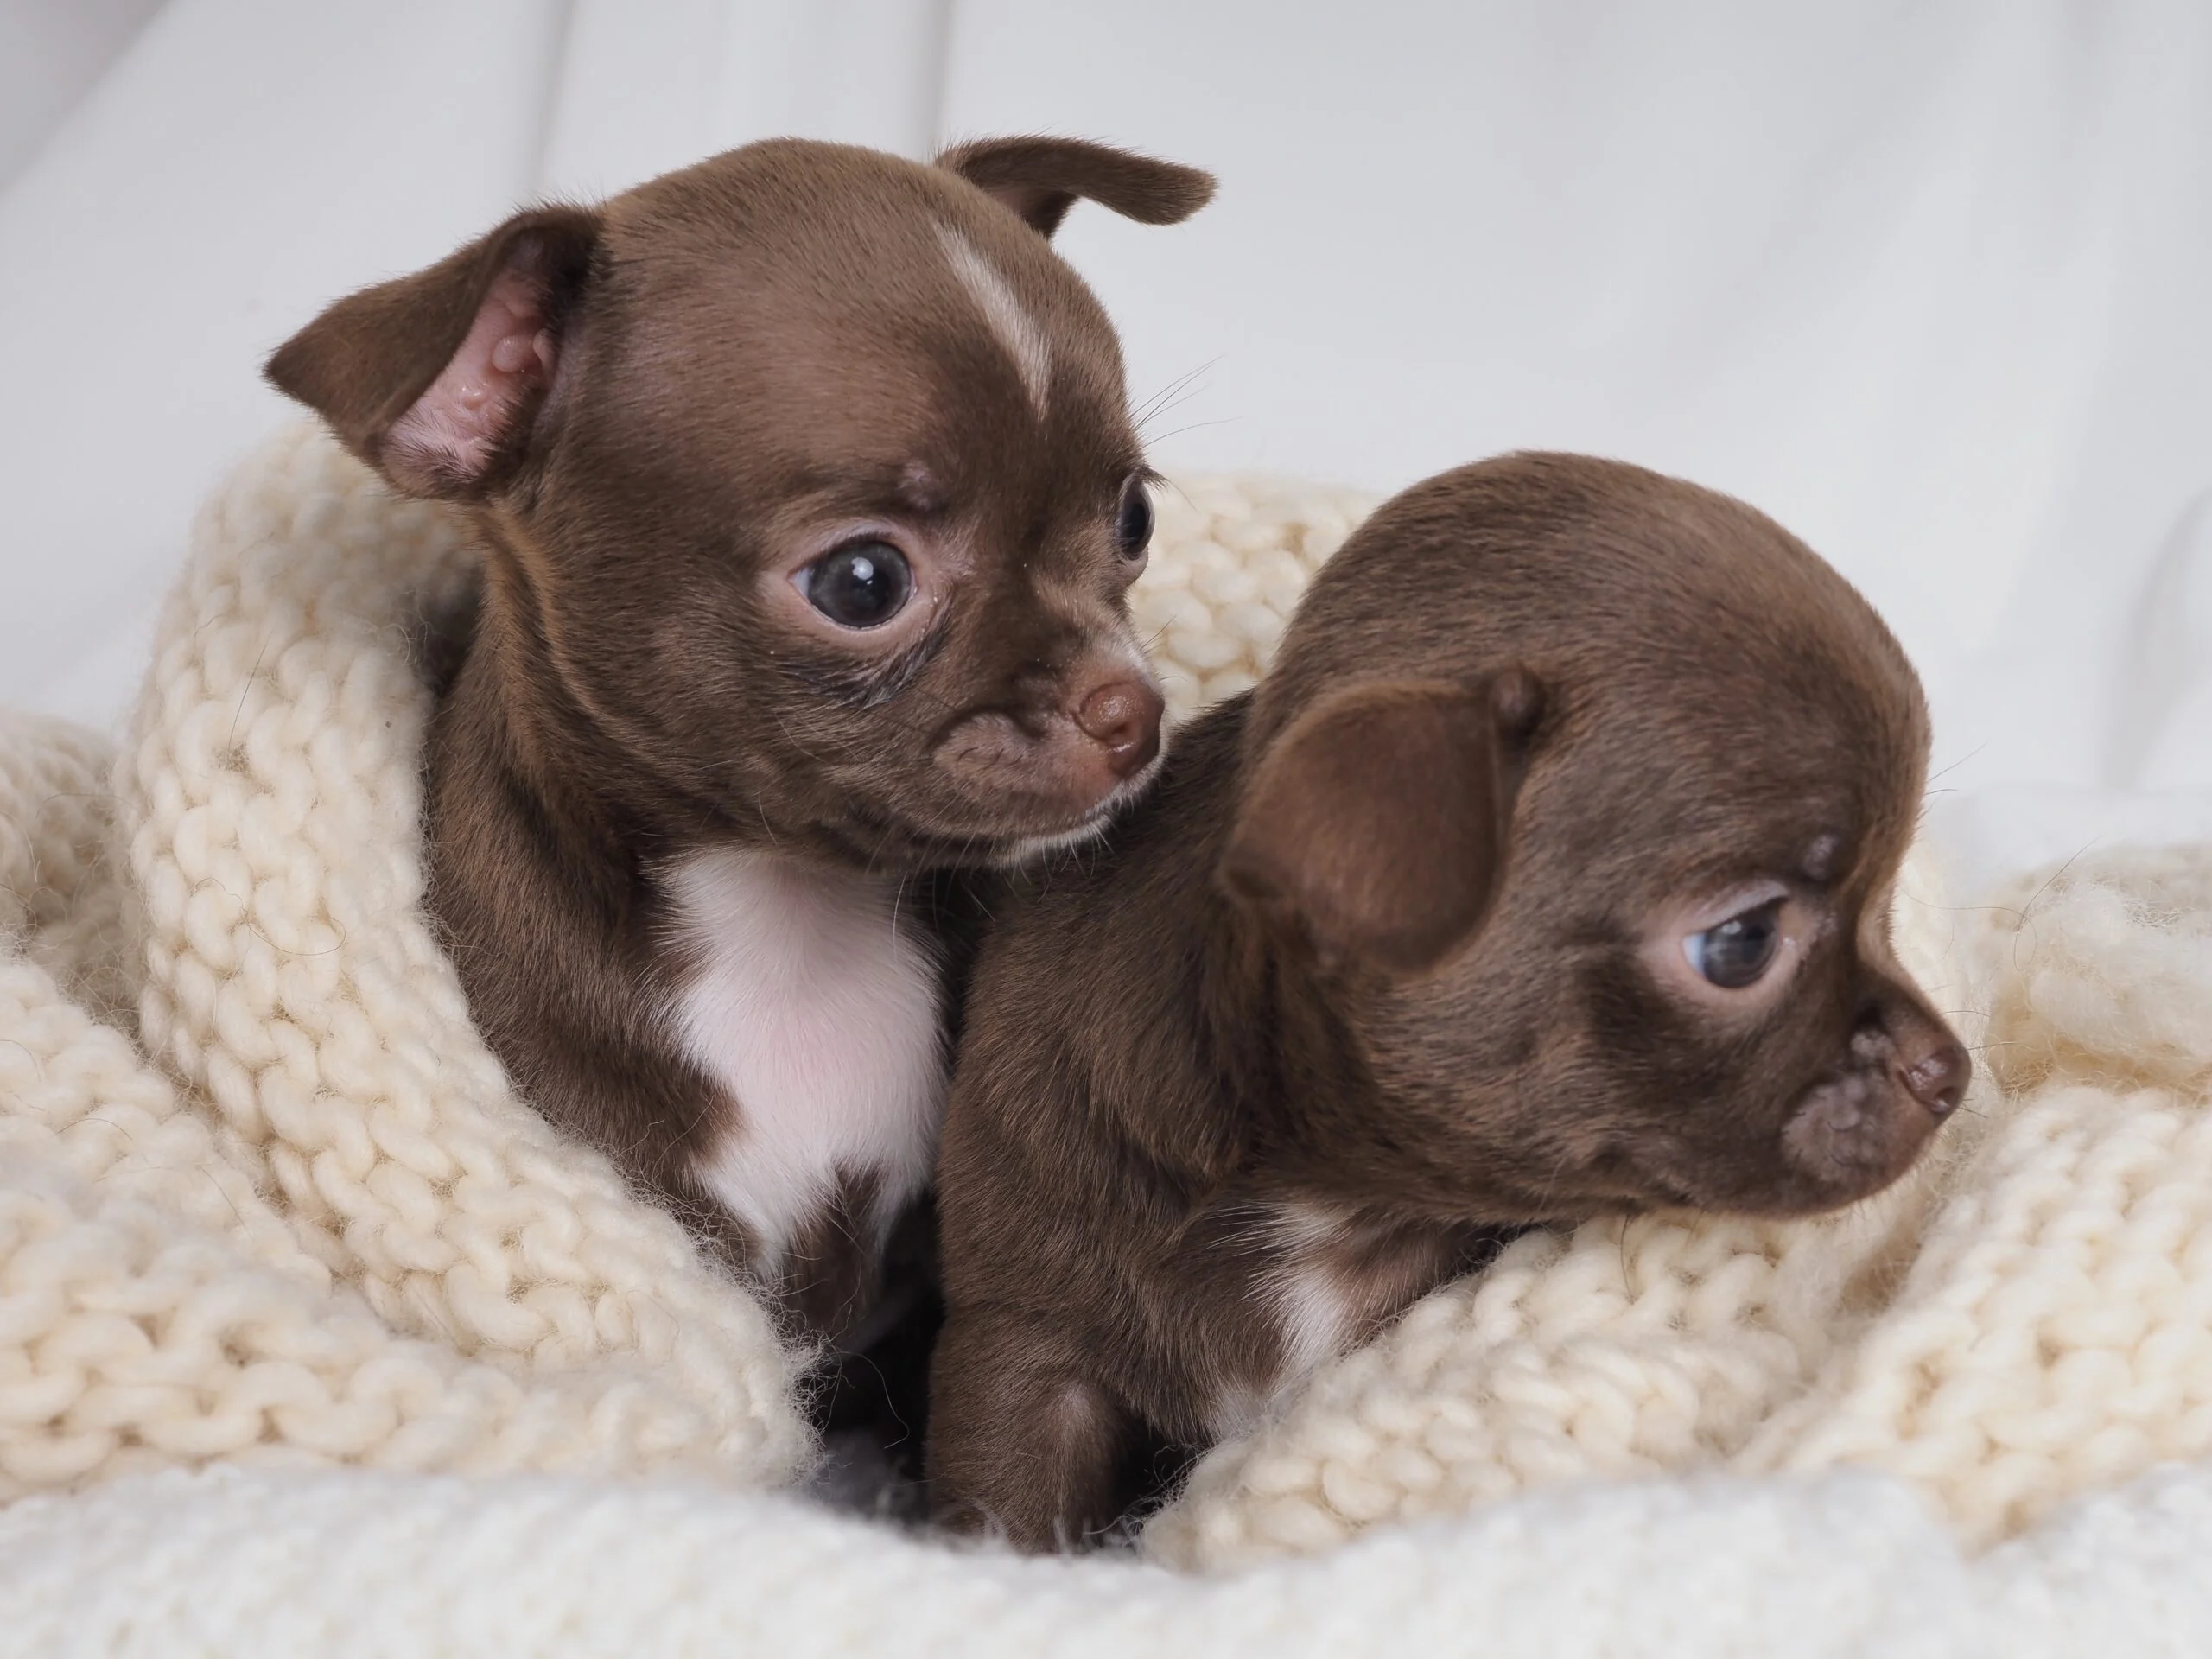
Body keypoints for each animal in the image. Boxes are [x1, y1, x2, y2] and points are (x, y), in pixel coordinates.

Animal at [925, 448, 1964, 1557]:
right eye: (1742, 945)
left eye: (1885, 907)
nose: (1946, 1070)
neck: (1316, 1195)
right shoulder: (1024, 1350)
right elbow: (1012, 1510)